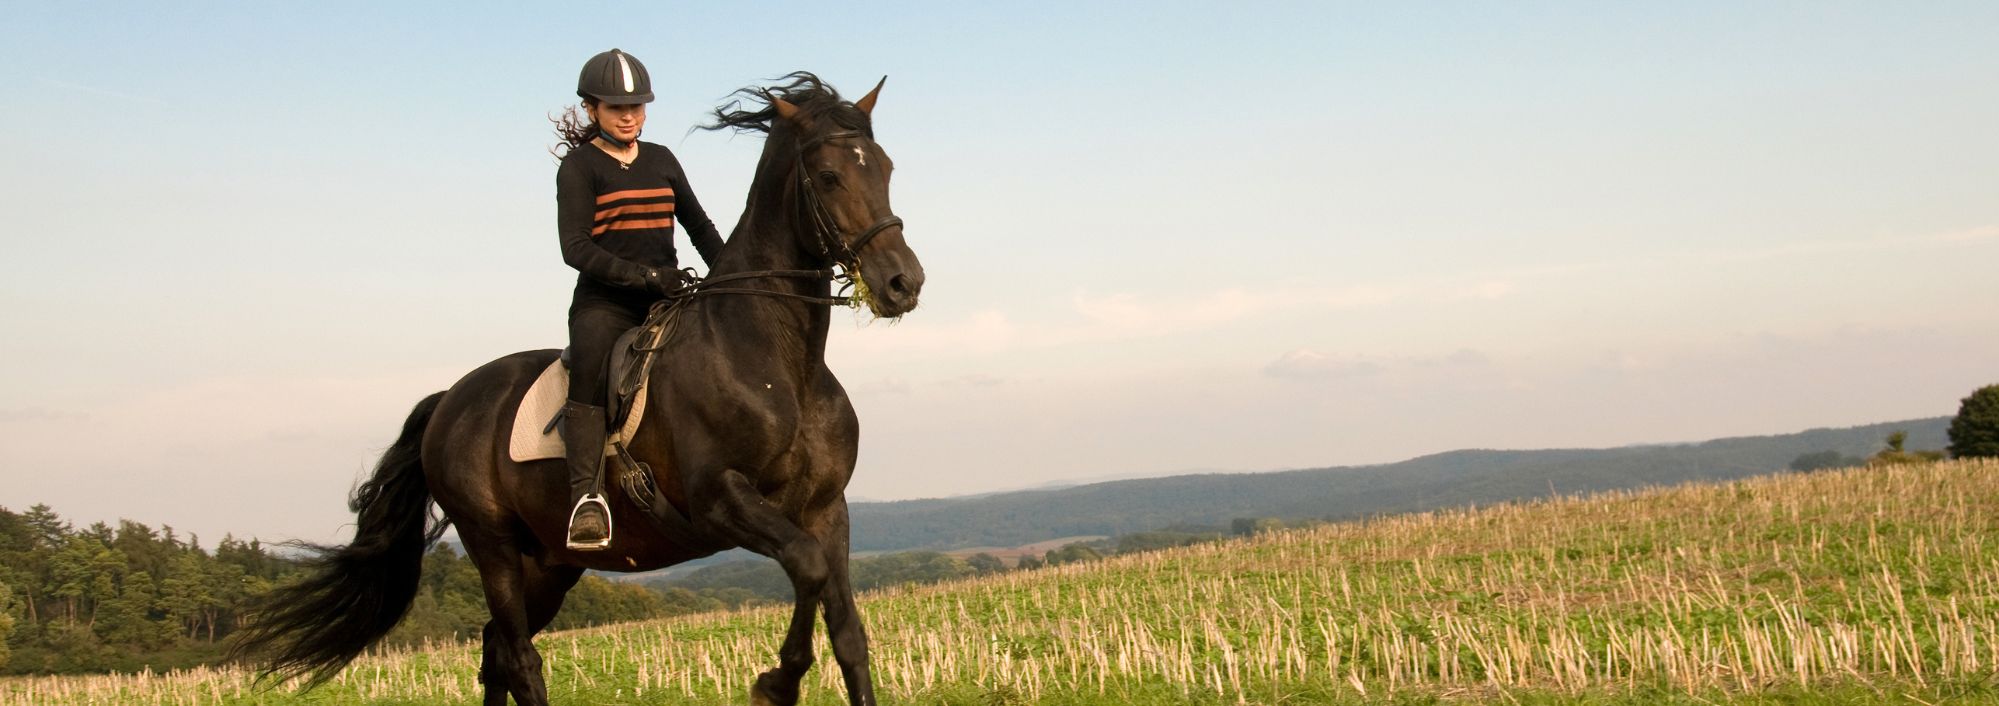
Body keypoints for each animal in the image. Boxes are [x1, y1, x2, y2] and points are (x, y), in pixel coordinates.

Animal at [229, 72, 922, 706]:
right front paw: (775, 682)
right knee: (518, 655)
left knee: (495, 652)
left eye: (886, 168)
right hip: (493, 548)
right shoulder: (719, 498)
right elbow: (806, 570)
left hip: (550, 564)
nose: (902, 283)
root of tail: (448, 401)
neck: (774, 360)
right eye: (828, 176)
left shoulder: (826, 509)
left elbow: (846, 629)